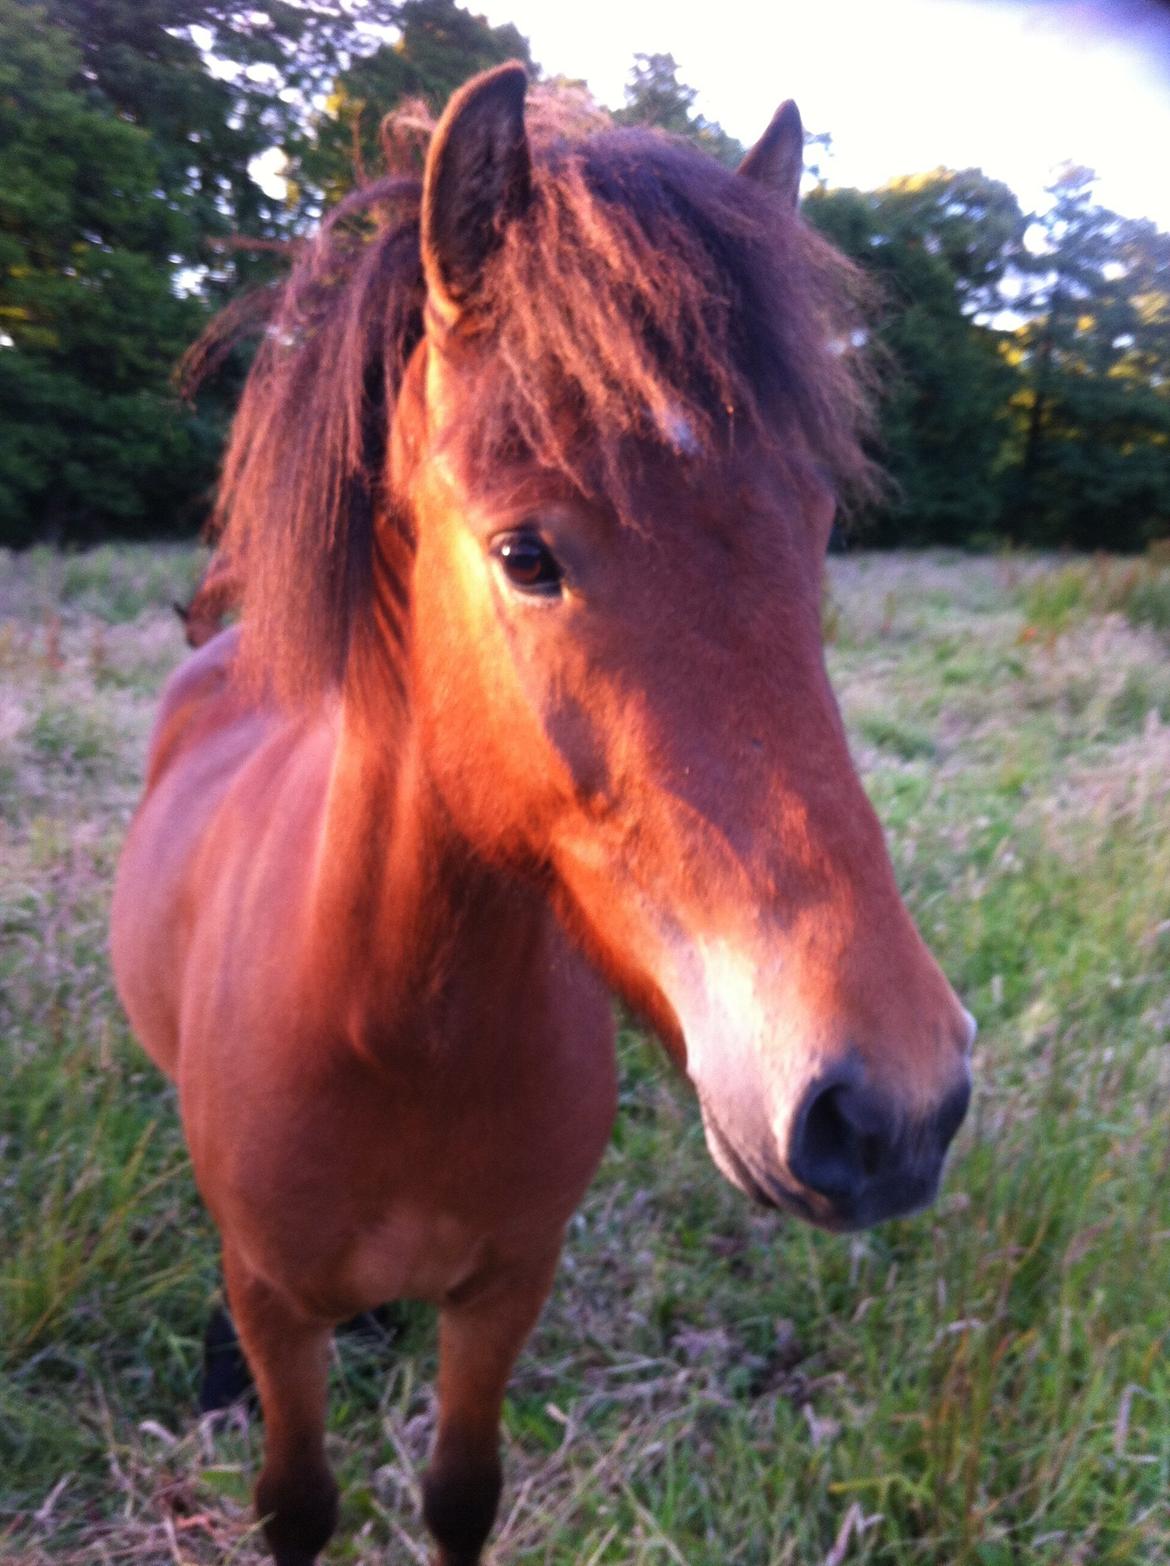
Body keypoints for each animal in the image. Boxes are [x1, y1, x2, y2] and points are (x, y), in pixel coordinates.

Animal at [109, 64, 977, 1566]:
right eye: (526, 555)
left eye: (814, 530)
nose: (893, 1113)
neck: (393, 1028)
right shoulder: (280, 1304)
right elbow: (296, 1503)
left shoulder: (506, 1289)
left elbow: (461, 1496)